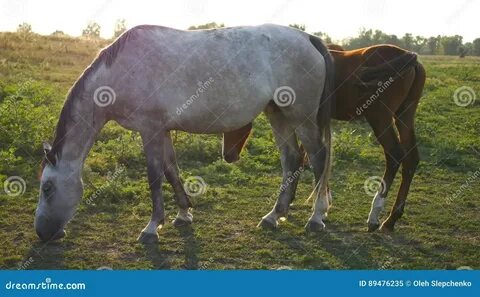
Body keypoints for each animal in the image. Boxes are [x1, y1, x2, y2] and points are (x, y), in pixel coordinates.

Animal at [223, 44, 426, 232]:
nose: (228, 155)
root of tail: (410, 58)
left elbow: (308, 159)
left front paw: (313, 208)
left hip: (380, 118)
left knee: (394, 156)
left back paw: (374, 215)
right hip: (404, 115)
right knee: (411, 159)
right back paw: (392, 219)